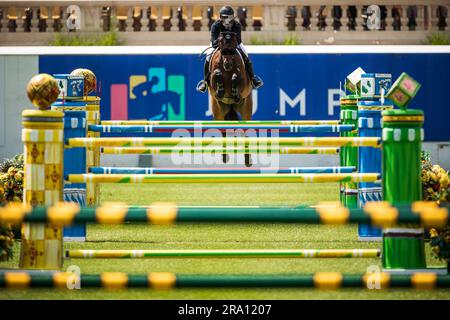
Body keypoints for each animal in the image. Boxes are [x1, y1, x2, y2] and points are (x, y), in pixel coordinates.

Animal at [207, 31, 253, 168]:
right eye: (222, 48)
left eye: (233, 48)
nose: (227, 64)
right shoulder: (212, 78)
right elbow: (216, 74)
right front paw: (221, 88)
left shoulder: (243, 81)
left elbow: (236, 77)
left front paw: (234, 89)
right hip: (218, 111)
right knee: (223, 131)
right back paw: (224, 157)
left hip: (246, 108)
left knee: (246, 131)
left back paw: (248, 160)